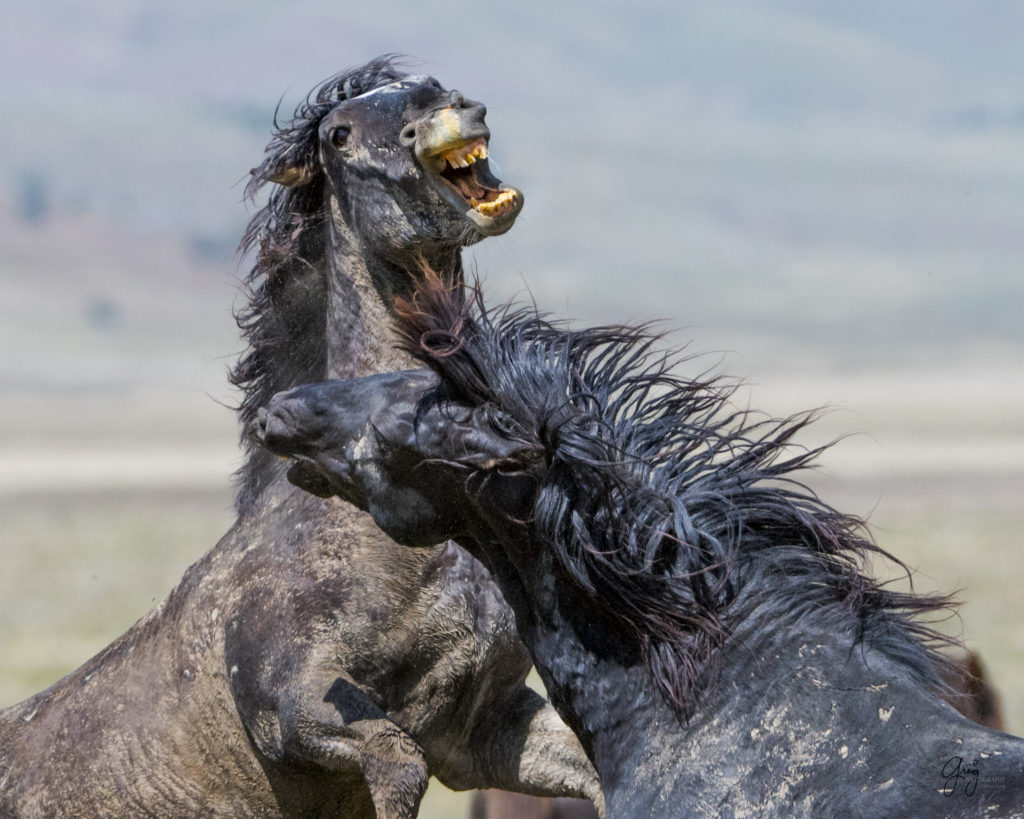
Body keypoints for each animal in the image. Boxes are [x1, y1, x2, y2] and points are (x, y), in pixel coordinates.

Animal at [0, 59, 598, 818]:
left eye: (435, 84)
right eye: (339, 135)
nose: (453, 111)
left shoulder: (482, 731)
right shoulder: (294, 702)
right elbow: (397, 763)